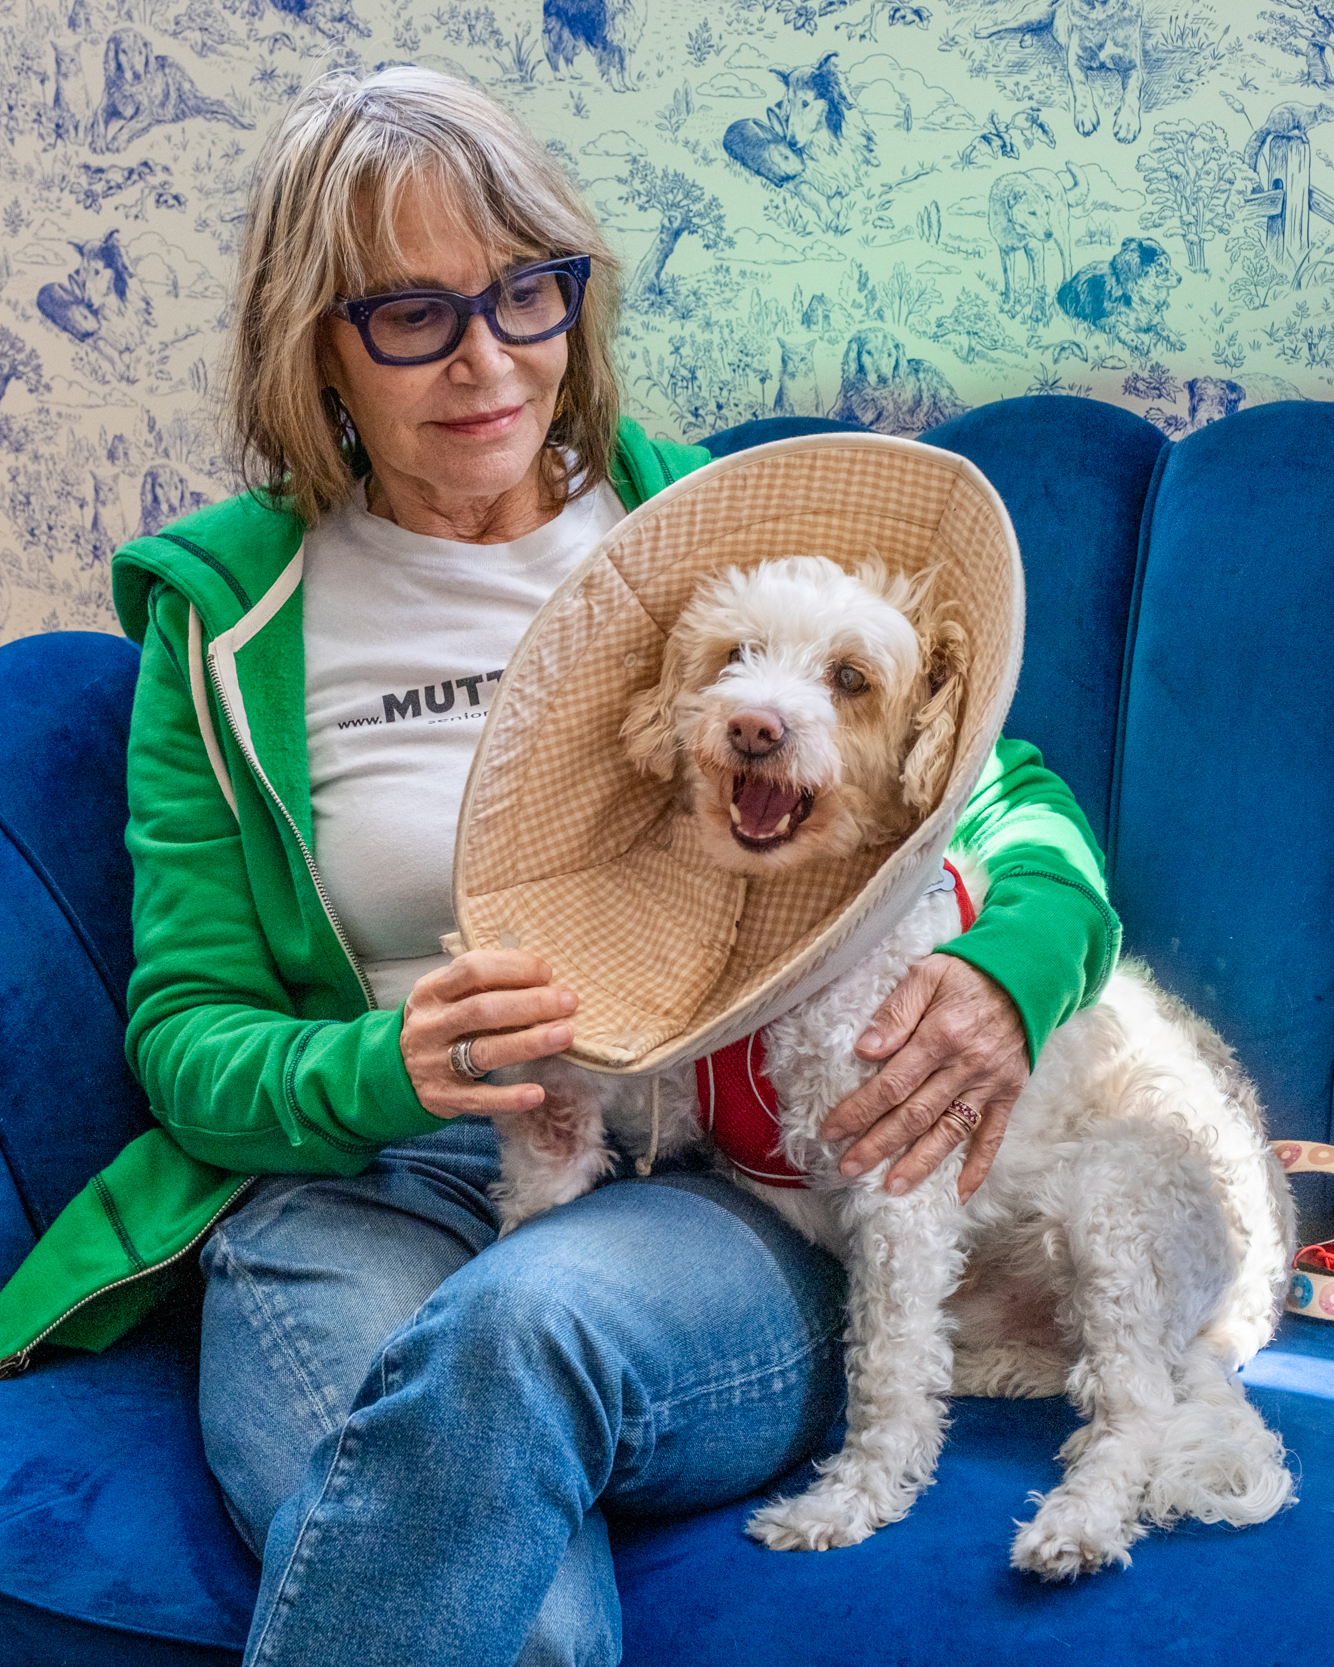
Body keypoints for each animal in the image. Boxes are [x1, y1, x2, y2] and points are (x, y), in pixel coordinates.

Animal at [490, 556, 1293, 1573]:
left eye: (851, 679)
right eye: (735, 653)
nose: (753, 727)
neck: (796, 957)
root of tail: (1219, 1331)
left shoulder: (899, 1182)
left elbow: (888, 1370)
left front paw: (852, 1499)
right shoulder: (664, 1090)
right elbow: (573, 1116)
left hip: (1119, 1209)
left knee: (1135, 1410)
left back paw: (1081, 1520)